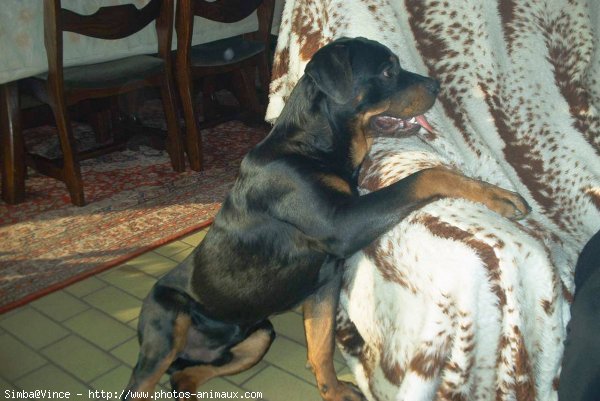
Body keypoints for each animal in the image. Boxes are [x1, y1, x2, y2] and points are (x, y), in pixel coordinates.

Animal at [123, 37, 528, 400]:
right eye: (387, 71)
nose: (436, 86)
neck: (314, 146)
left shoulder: (325, 281)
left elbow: (321, 346)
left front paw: (332, 391)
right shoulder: (342, 224)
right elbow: (425, 176)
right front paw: (500, 196)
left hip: (257, 336)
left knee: (186, 377)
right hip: (166, 325)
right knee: (142, 382)